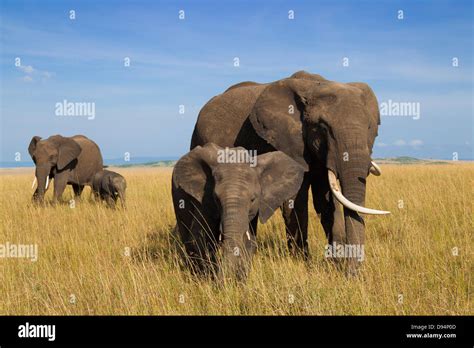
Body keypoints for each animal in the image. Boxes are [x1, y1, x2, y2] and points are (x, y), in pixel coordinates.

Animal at [172, 141, 306, 280]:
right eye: (216, 199)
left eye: (253, 199)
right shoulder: (204, 200)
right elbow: (201, 237)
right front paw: (209, 278)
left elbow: (249, 241)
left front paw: (239, 280)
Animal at [189, 70, 388, 274]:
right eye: (323, 128)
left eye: (370, 128)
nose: (352, 274)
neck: (316, 85)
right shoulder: (287, 142)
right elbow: (295, 201)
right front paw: (304, 264)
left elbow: (326, 201)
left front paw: (336, 263)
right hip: (197, 139)